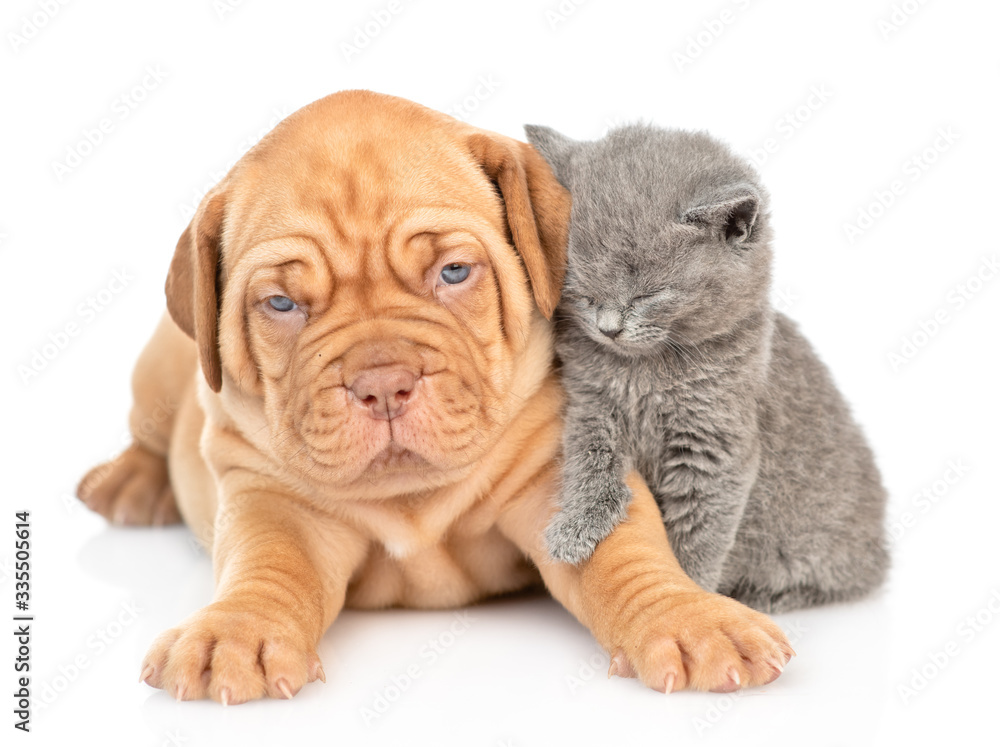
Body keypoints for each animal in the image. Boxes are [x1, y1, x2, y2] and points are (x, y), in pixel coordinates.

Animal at [78, 90, 792, 704]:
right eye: (280, 304)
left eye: (453, 272)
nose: (381, 383)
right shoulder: (270, 498)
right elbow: (268, 566)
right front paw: (235, 634)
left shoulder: (555, 471)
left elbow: (627, 553)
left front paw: (691, 619)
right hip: (157, 371)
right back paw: (130, 484)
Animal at [528, 124, 888, 612]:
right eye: (582, 290)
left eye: (648, 294)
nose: (608, 328)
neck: (645, 372)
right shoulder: (590, 403)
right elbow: (589, 460)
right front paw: (575, 529)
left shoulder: (716, 447)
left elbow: (700, 532)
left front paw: (691, 593)